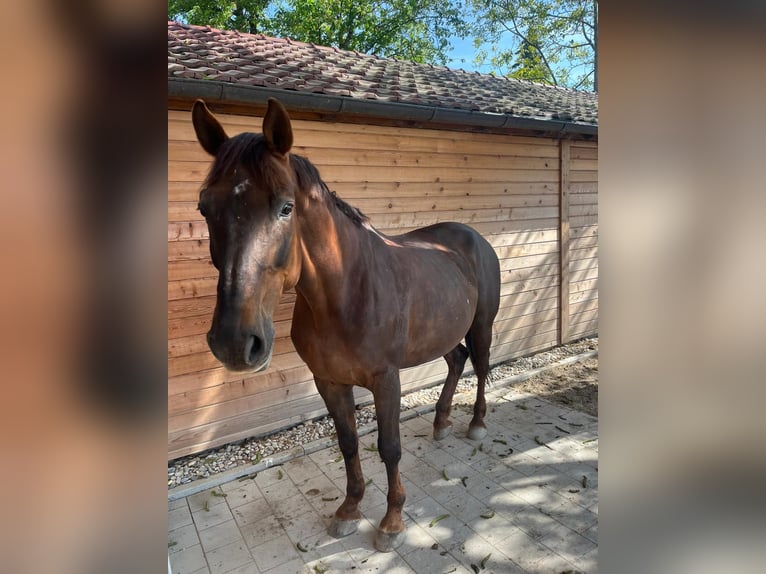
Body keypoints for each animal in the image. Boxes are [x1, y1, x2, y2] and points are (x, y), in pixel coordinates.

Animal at [191, 98, 501, 552]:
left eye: (286, 207)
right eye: (204, 207)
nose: (234, 342)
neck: (345, 295)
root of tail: (473, 238)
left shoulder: (386, 380)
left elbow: (389, 447)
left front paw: (391, 521)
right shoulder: (329, 381)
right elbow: (348, 441)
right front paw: (349, 509)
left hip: (481, 325)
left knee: (479, 366)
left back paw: (476, 424)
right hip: (442, 333)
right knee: (457, 361)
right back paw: (441, 421)